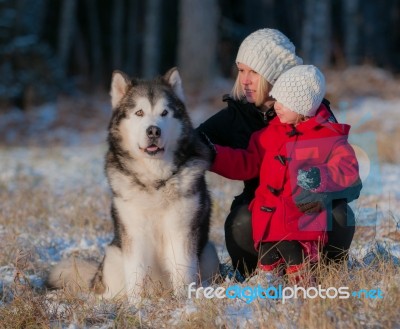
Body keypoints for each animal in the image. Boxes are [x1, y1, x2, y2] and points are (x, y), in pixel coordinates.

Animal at [50, 67, 220, 302]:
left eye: (164, 113)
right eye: (139, 113)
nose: (153, 131)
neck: (154, 180)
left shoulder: (181, 230)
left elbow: (182, 270)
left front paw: (183, 301)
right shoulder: (134, 232)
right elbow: (136, 272)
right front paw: (136, 304)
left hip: (209, 252)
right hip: (113, 254)